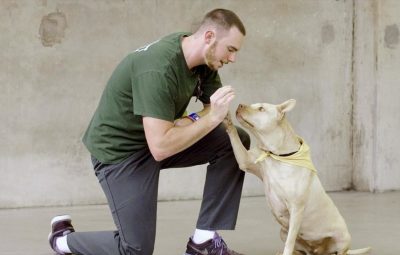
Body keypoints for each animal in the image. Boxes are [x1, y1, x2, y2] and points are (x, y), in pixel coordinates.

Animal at [223, 99, 370, 255]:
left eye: (261, 109)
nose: (240, 105)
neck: (277, 155)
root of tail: (318, 252)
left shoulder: (296, 209)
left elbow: (290, 241)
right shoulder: (245, 161)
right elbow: (235, 138)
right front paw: (225, 117)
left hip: (343, 237)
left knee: (340, 251)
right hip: (283, 232)